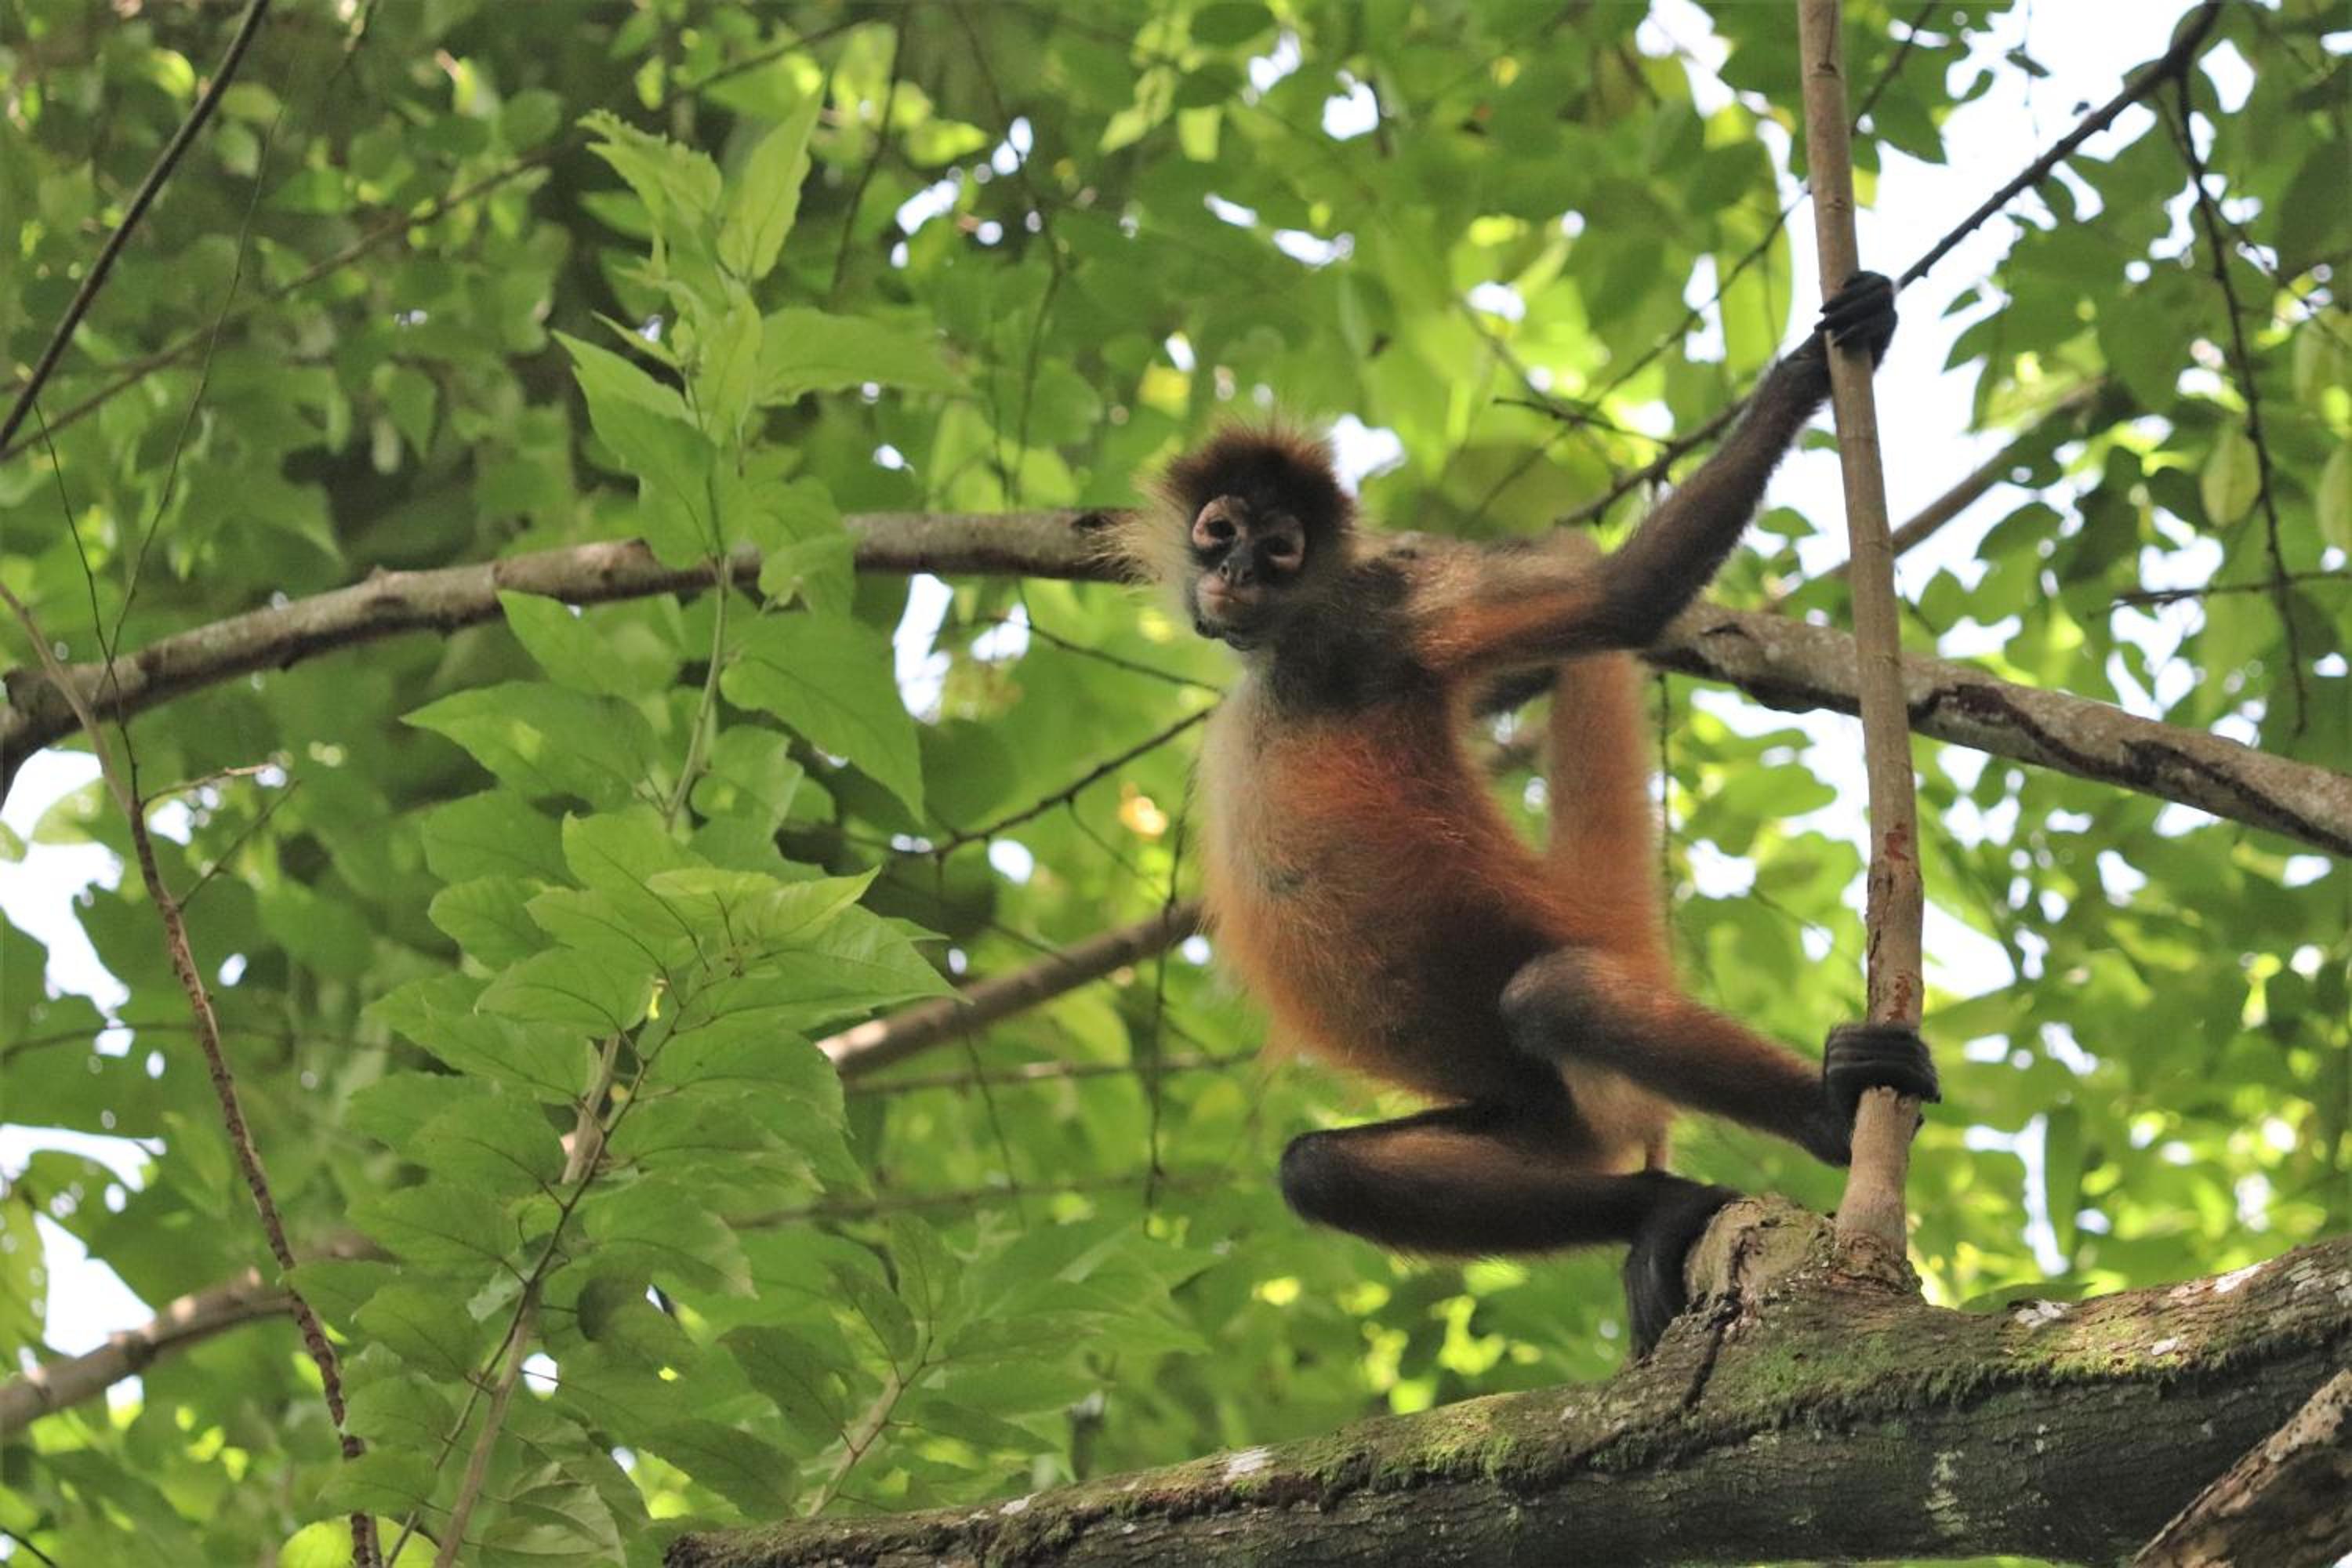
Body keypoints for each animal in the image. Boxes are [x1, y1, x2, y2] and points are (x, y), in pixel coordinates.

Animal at [1127, 271, 1938, 1354]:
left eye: (1282, 547)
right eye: (1221, 530)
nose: (1238, 573)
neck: (1288, 654)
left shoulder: (1391, 610)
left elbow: (1625, 598)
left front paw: (1814, 368)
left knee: (1556, 993)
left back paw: (1828, 1111)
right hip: (1540, 1119)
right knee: (1321, 1168)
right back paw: (1658, 1207)